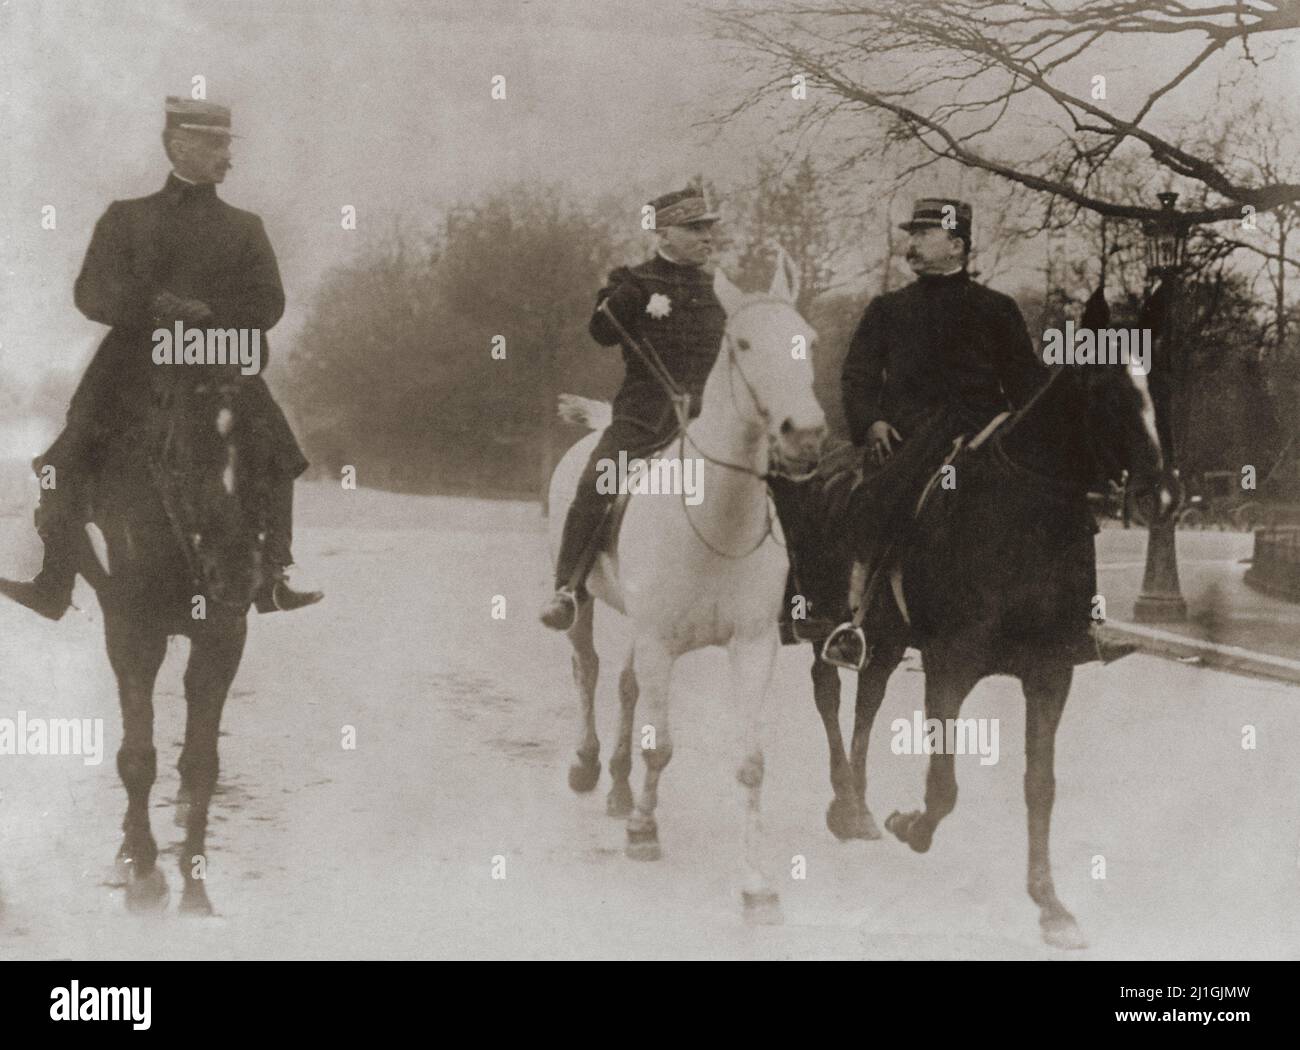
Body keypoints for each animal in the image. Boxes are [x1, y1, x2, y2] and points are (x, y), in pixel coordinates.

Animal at [83, 363, 274, 914]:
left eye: (265, 446)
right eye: (181, 457)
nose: (236, 572)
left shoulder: (224, 636)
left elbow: (203, 762)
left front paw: (195, 890)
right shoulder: (131, 635)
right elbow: (137, 758)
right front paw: (146, 878)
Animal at [546, 258, 821, 925]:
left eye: (810, 341)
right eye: (742, 344)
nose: (806, 435)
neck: (715, 517)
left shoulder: (751, 647)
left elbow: (750, 764)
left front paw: (756, 883)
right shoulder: (659, 643)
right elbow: (661, 747)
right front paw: (645, 832)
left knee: (624, 688)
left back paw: (618, 787)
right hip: (585, 606)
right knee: (589, 672)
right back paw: (588, 766)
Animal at [780, 348, 1170, 946]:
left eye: (1154, 382)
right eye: (1104, 388)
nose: (1162, 497)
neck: (1023, 516)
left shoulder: (1050, 673)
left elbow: (1040, 785)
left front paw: (1050, 903)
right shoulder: (950, 666)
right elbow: (943, 785)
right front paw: (911, 826)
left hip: (889, 638)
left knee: (868, 698)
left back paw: (859, 807)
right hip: (825, 619)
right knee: (828, 693)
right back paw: (846, 800)